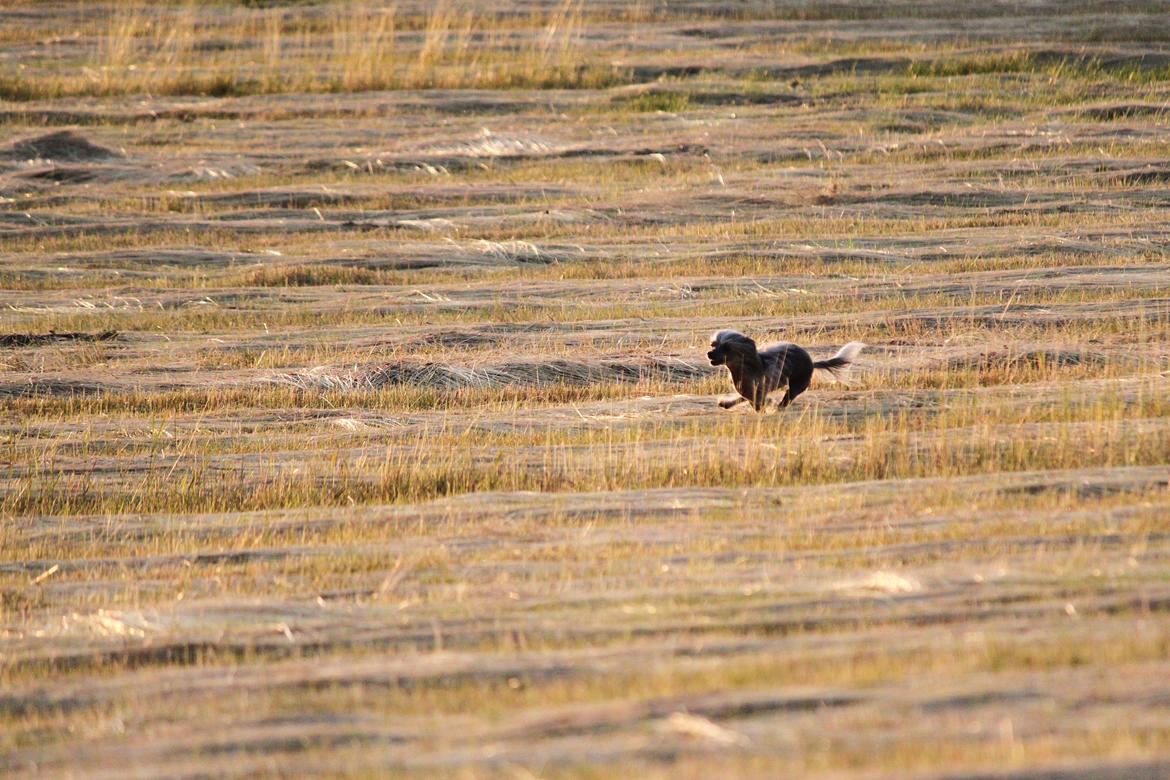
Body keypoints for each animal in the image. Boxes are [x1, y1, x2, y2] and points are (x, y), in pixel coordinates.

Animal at [706, 329, 865, 411]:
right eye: (713, 345)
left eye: (727, 347)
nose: (709, 354)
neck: (744, 369)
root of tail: (812, 362)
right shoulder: (748, 389)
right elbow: (744, 397)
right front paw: (726, 403)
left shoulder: (759, 388)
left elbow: (755, 399)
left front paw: (765, 405)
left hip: (797, 385)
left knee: (787, 398)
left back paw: (779, 407)